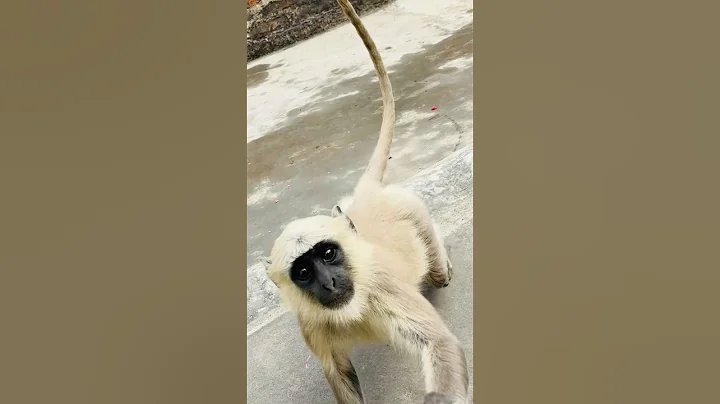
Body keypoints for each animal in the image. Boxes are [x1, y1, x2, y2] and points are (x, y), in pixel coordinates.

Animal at [261, 0, 469, 403]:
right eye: (304, 272)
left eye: (328, 254)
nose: (329, 282)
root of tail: (365, 198)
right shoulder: (310, 324)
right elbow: (338, 373)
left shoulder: (384, 288)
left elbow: (439, 344)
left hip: (411, 209)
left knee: (435, 271)